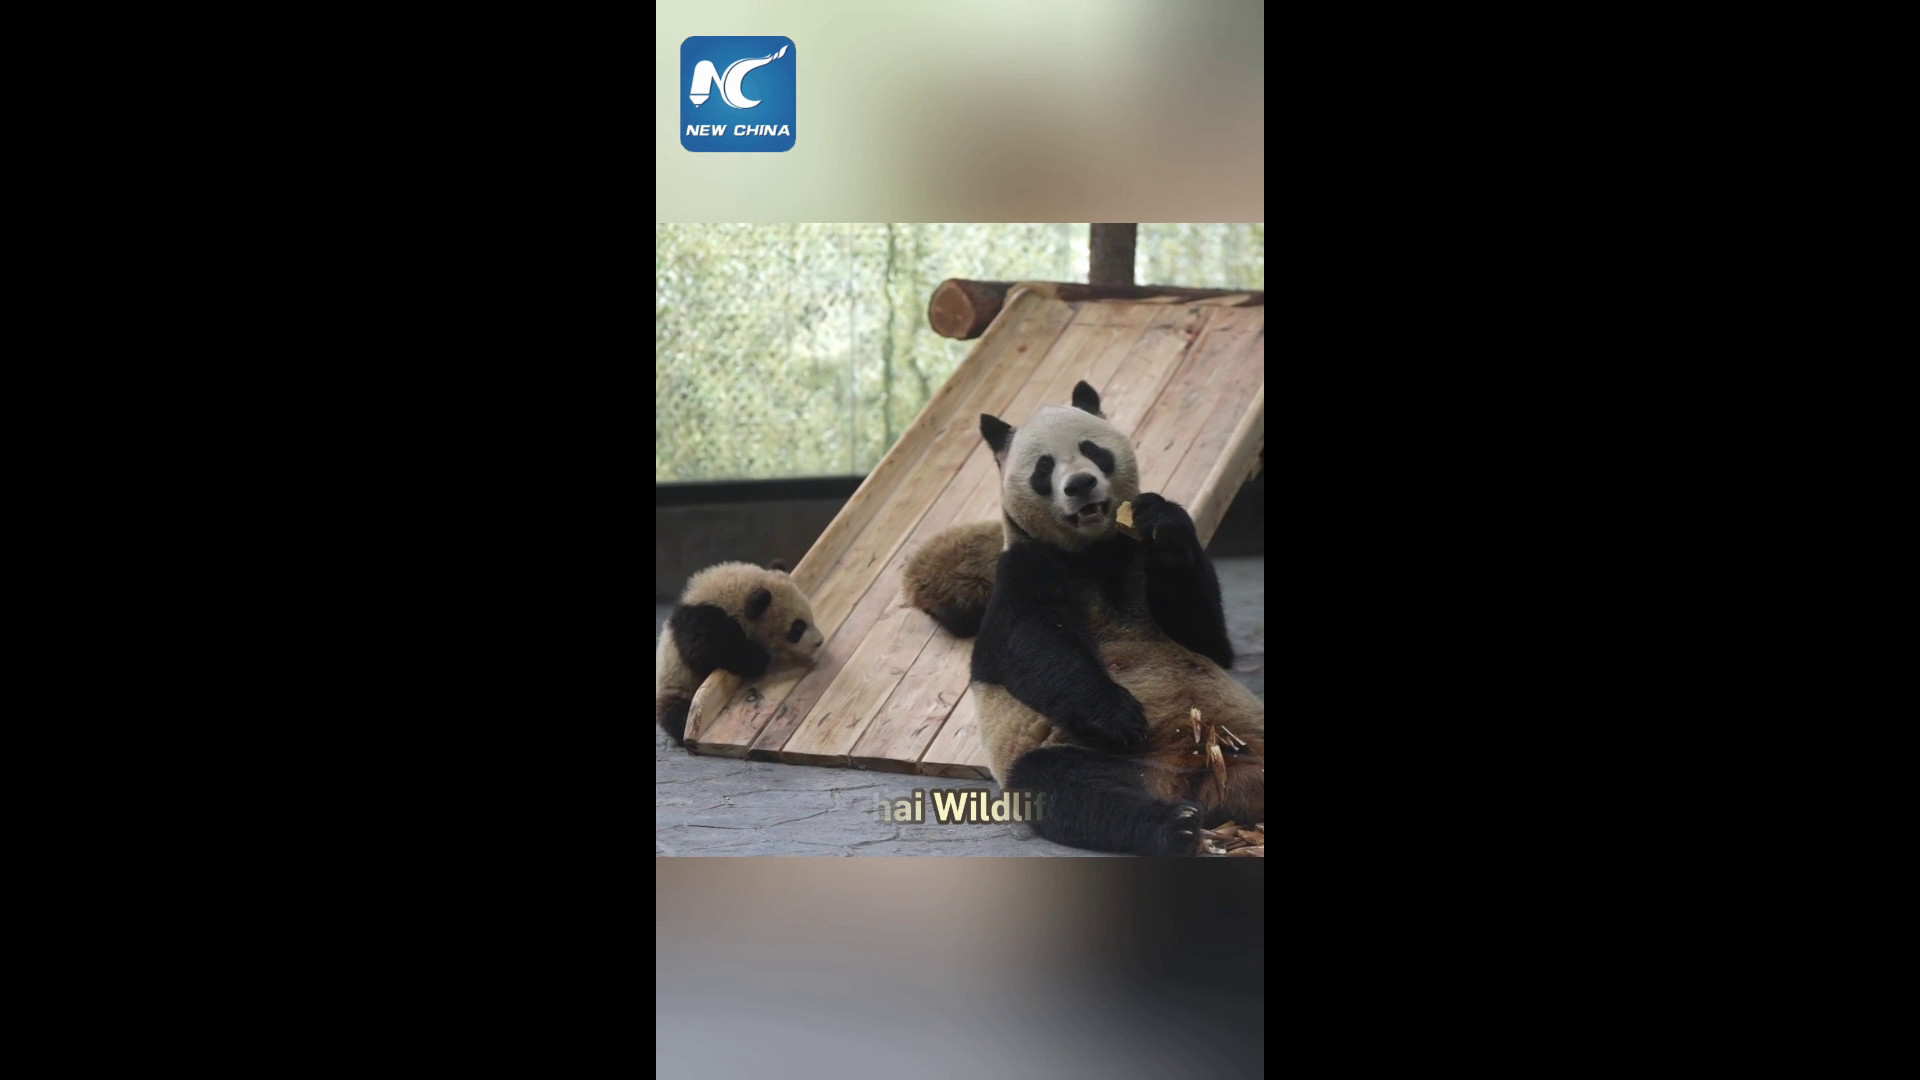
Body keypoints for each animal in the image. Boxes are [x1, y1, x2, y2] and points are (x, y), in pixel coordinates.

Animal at [655, 560, 825, 745]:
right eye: (797, 628)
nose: (819, 642)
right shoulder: (701, 620)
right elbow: (705, 652)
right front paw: (759, 658)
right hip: (675, 685)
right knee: (675, 712)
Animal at [955, 380, 1262, 856]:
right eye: (1044, 467)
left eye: (1092, 450)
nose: (1080, 484)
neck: (1093, 551)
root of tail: (1200, 777)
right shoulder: (1023, 568)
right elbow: (1031, 644)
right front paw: (1120, 715)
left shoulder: (1134, 556)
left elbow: (1207, 640)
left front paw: (1165, 526)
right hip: (1087, 752)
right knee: (1072, 789)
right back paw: (1173, 827)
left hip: (1249, 735)